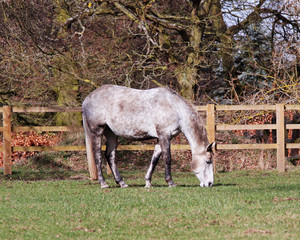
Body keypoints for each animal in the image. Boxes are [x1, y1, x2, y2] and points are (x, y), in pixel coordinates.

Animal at [82, 84, 214, 188]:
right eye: (208, 161)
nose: (210, 183)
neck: (175, 107)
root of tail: (87, 99)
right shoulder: (164, 135)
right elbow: (167, 158)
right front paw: (170, 182)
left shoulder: (161, 138)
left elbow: (154, 160)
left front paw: (148, 182)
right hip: (97, 132)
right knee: (98, 156)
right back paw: (103, 183)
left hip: (111, 134)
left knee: (110, 156)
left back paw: (122, 183)